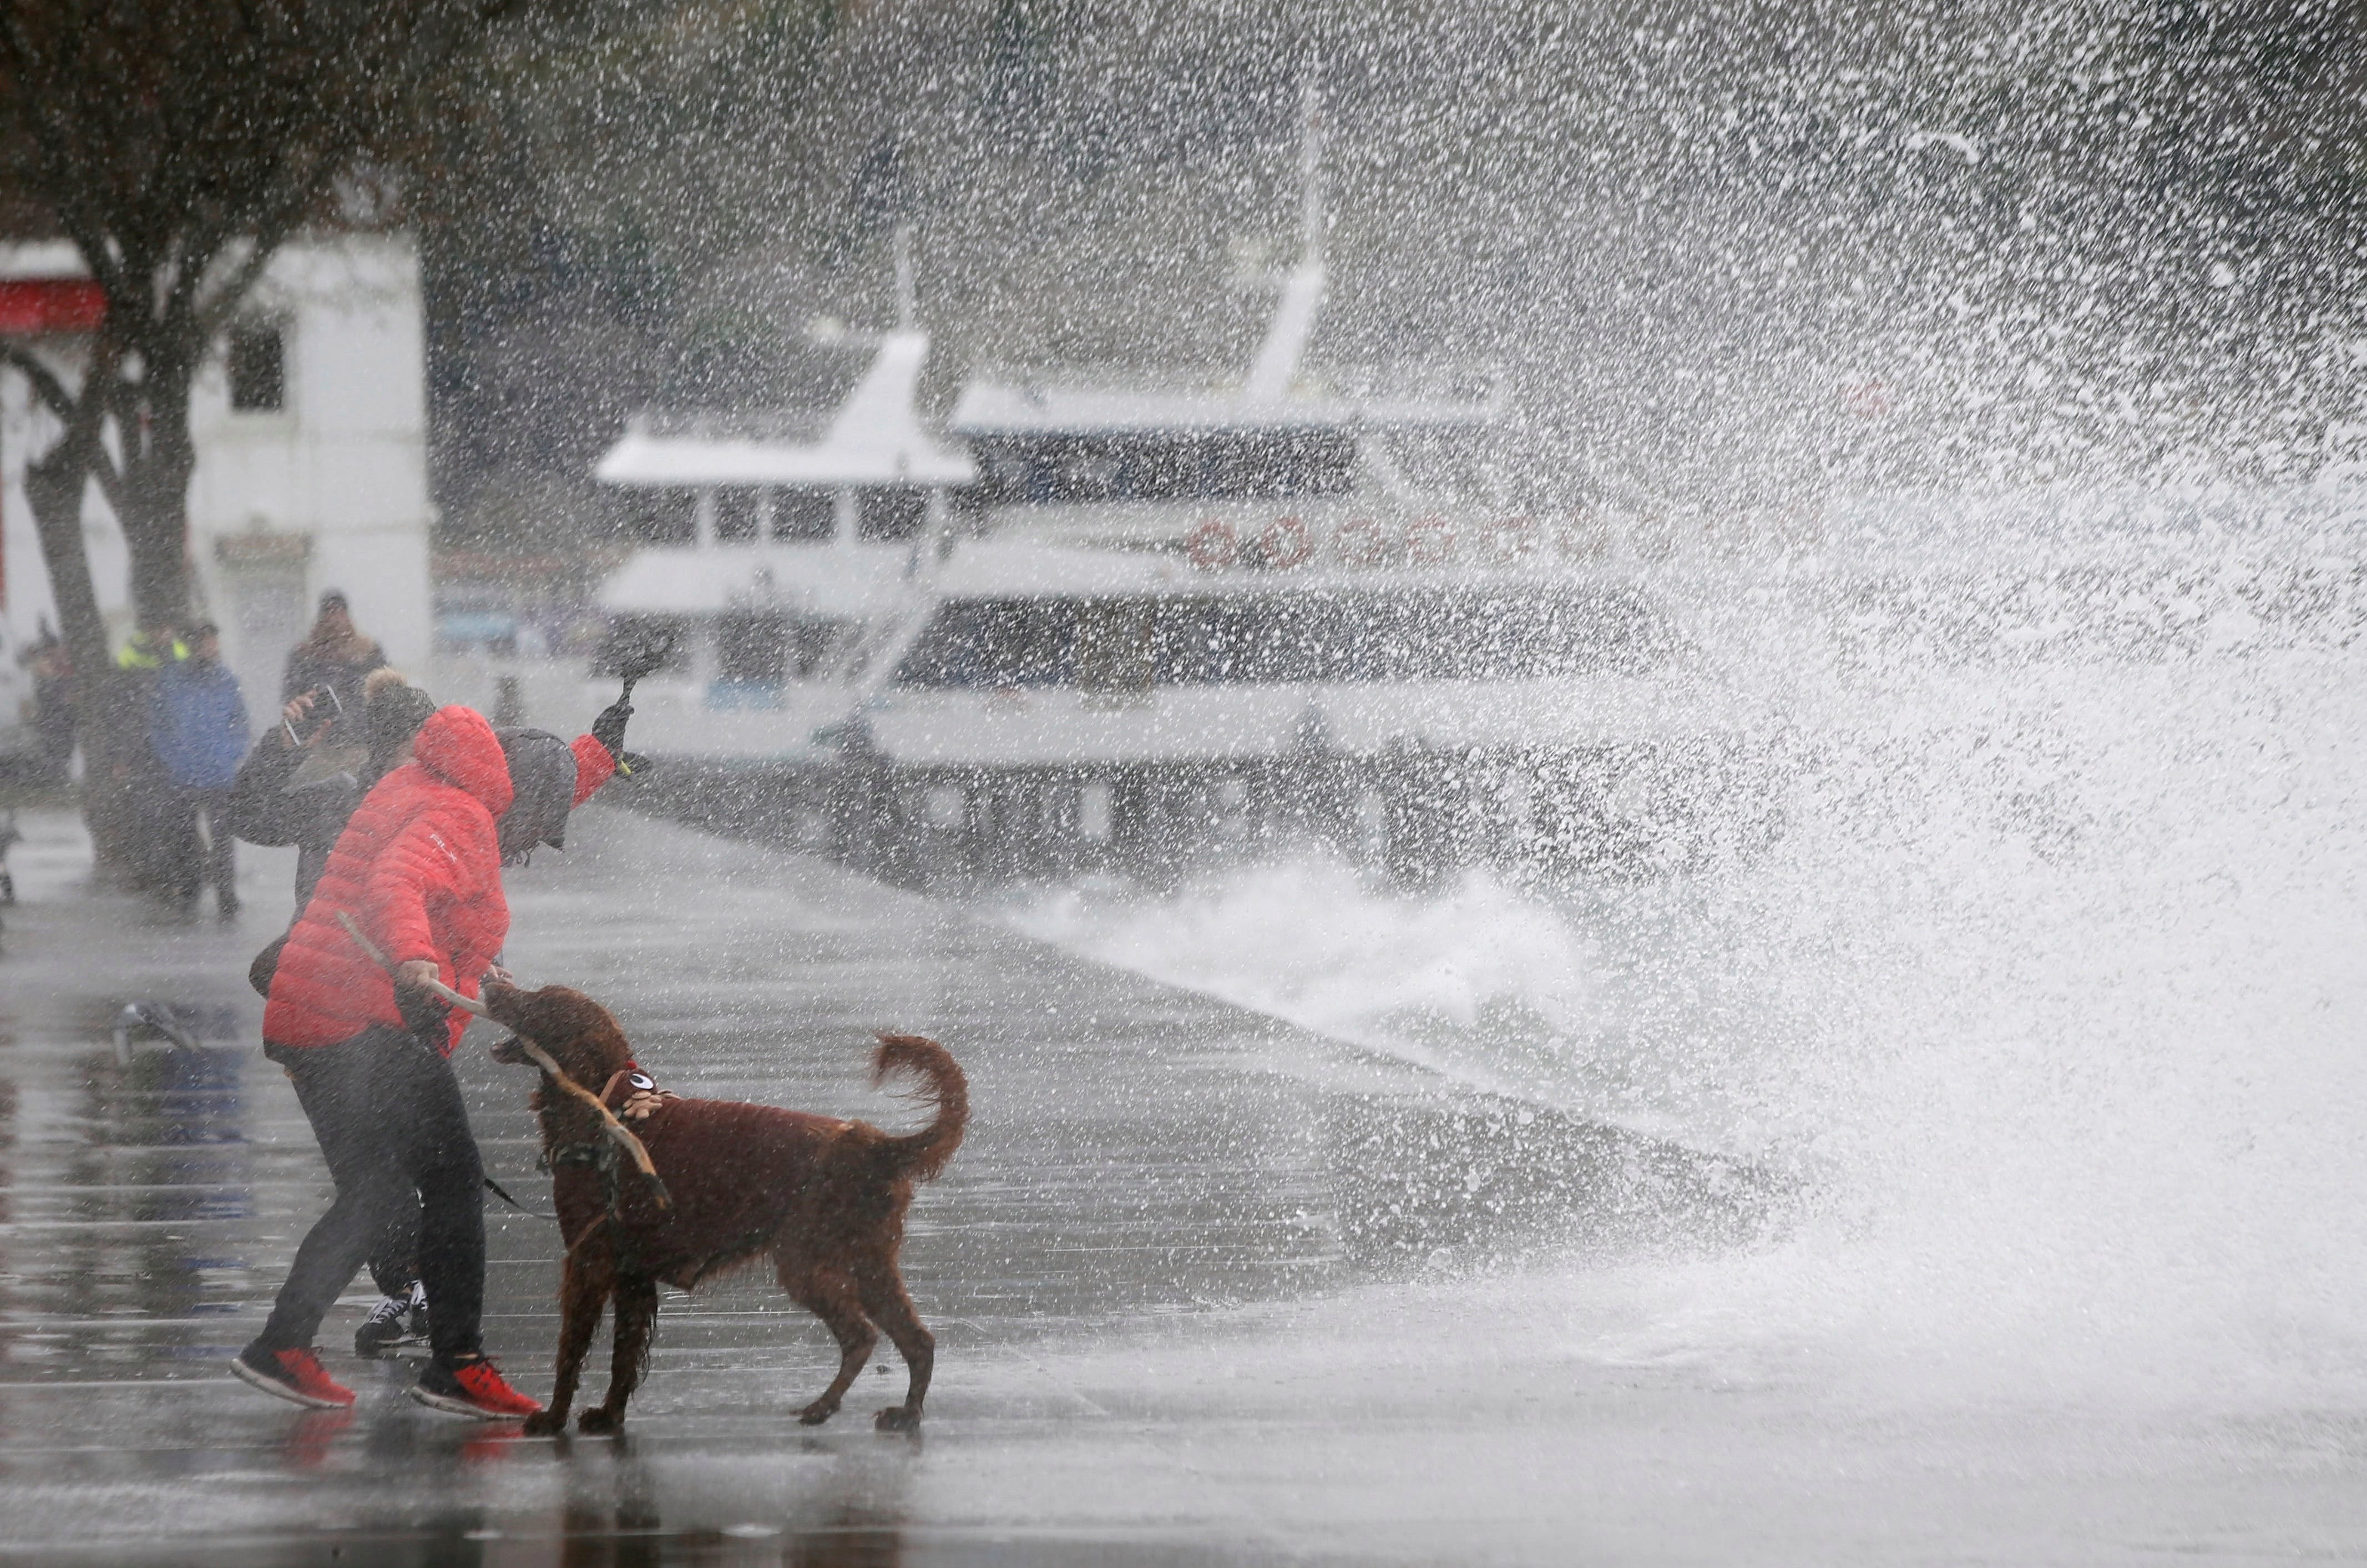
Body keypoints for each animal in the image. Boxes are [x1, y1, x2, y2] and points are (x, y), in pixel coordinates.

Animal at [476, 990, 965, 1440]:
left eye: (537, 1002)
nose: (490, 984)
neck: (604, 1107)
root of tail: (876, 1146)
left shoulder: (587, 1260)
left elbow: (570, 1352)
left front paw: (553, 1418)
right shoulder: (633, 1275)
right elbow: (623, 1357)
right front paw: (609, 1415)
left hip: (807, 1262)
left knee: (861, 1337)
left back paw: (823, 1407)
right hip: (869, 1263)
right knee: (918, 1340)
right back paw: (906, 1414)